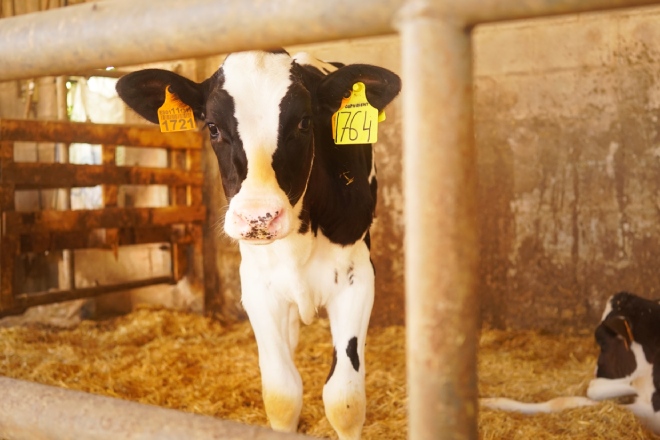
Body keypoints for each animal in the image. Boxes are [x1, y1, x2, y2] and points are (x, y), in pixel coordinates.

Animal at [115, 49, 401, 440]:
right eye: (213, 127)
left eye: (305, 123)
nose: (258, 217)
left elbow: (345, 400)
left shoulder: (357, 279)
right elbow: (282, 394)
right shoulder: (258, 288)